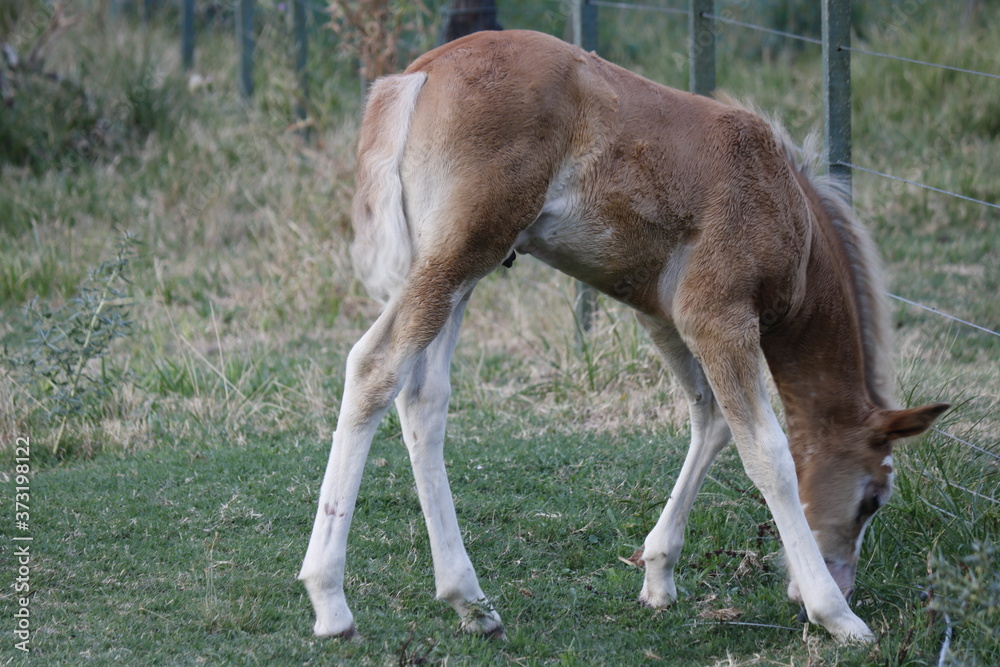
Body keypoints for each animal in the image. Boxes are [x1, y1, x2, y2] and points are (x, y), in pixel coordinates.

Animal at [298, 29, 948, 643]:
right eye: (873, 499)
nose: (843, 579)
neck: (793, 213)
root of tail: (418, 73)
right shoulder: (719, 318)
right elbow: (769, 455)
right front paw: (835, 614)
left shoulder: (663, 316)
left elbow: (711, 419)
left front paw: (659, 573)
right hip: (462, 253)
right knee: (375, 366)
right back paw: (331, 601)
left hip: (457, 267)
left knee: (424, 400)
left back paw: (470, 602)